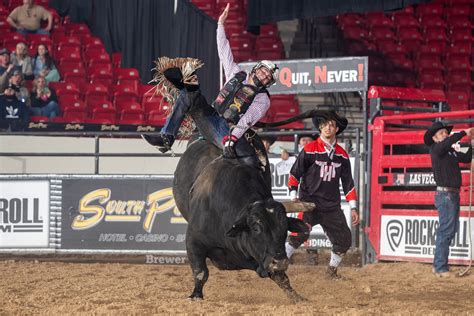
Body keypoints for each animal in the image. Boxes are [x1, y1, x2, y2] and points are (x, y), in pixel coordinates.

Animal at [172, 135, 310, 302]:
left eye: (285, 227)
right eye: (256, 228)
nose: (282, 261)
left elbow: (281, 278)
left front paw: (297, 297)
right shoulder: (193, 241)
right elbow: (200, 272)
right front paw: (195, 296)